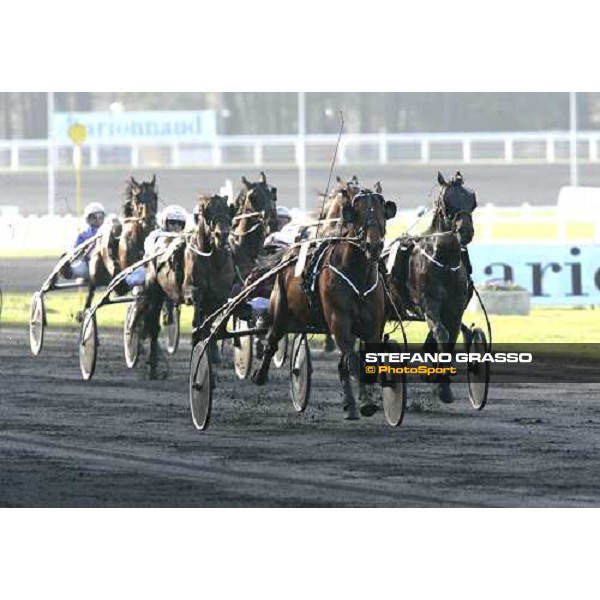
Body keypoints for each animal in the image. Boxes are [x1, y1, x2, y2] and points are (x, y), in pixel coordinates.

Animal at [390, 170, 478, 404]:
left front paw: (442, 385)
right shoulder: (427, 301)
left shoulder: (455, 307)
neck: (444, 261)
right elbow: (441, 333)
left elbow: (451, 336)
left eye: (472, 200)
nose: (466, 231)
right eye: (446, 201)